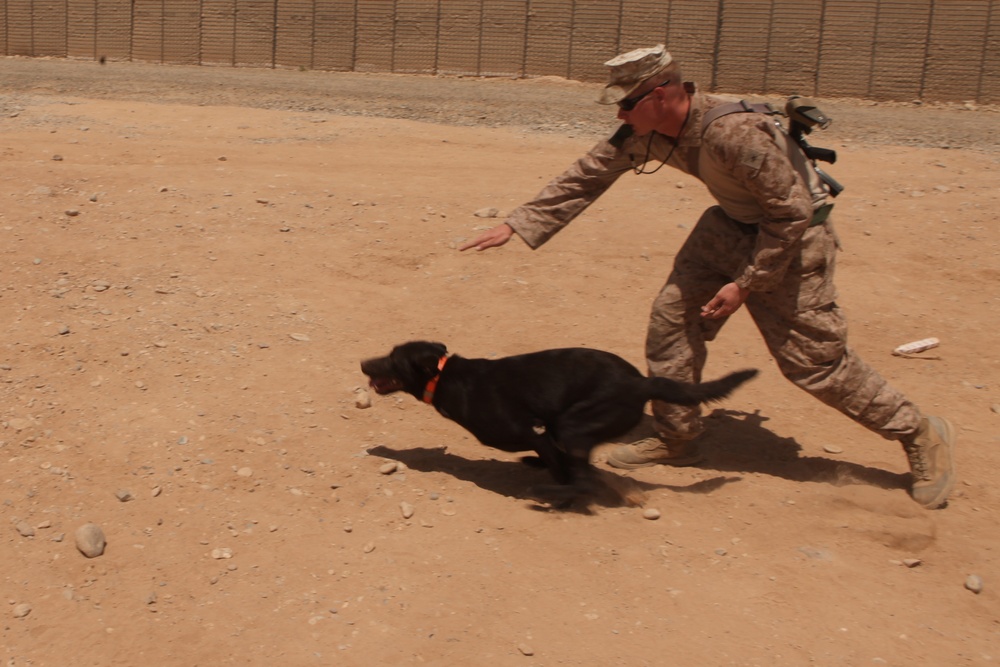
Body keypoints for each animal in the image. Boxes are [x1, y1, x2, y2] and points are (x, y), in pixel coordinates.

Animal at [360, 344, 756, 500]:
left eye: (393, 359)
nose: (363, 362)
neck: (446, 379)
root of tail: (640, 382)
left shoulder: (529, 432)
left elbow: (560, 466)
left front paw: (558, 486)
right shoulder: (543, 435)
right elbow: (557, 459)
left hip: (573, 424)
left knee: (580, 479)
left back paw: (551, 494)